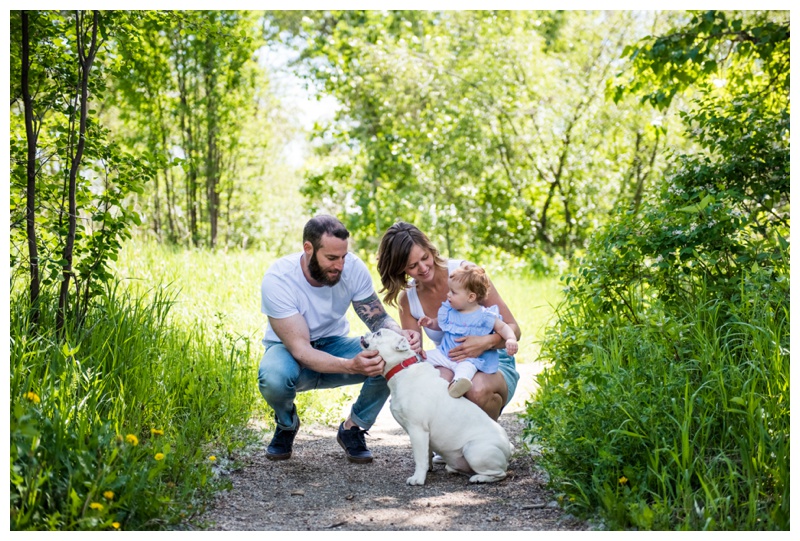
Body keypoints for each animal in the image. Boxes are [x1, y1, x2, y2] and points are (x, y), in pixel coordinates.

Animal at [360, 330, 512, 486]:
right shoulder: (422, 435)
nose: (366, 333)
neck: (402, 368)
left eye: (378, 333)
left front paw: (418, 478)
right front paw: (427, 470)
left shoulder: (418, 430)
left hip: (475, 451)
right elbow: (426, 454)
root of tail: (508, 449)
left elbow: (419, 457)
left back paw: (479, 478)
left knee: (500, 474)